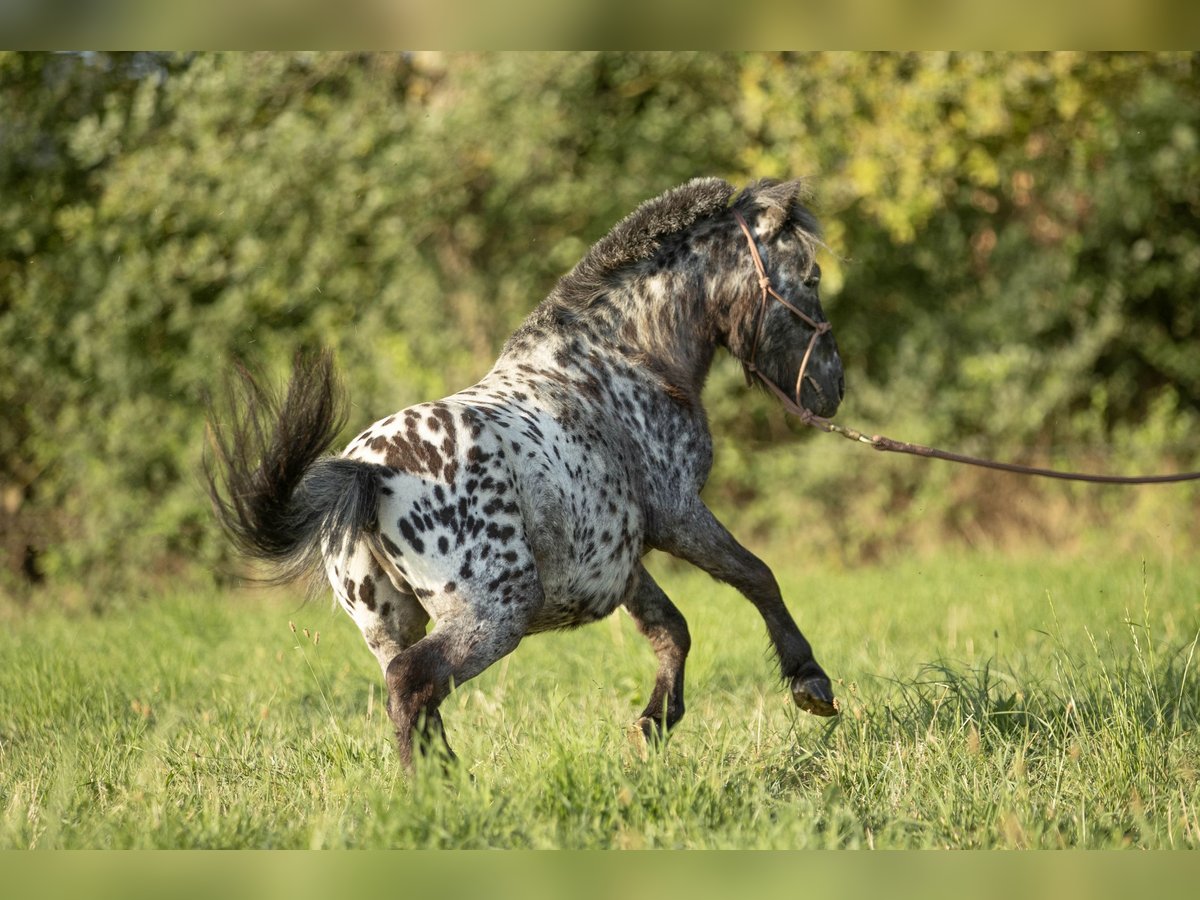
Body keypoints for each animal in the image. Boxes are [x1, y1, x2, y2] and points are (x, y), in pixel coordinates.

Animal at [206, 176, 844, 768]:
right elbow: (756, 575)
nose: (833, 386)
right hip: (494, 615)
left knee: (409, 691)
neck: (625, 359)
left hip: (391, 627)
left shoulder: (621, 556)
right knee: (413, 684)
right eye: (811, 278)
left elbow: (672, 629)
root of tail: (366, 474)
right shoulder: (678, 514)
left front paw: (653, 724)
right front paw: (810, 682)